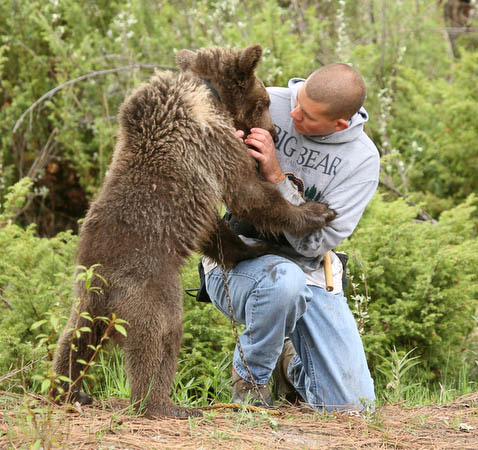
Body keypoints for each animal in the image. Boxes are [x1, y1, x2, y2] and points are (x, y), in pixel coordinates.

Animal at [52, 44, 336, 416]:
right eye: (264, 101)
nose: (273, 132)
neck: (207, 94)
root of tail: (105, 286)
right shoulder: (213, 144)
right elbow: (249, 194)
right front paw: (316, 212)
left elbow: (217, 231)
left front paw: (251, 247)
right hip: (150, 287)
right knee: (162, 335)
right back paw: (161, 403)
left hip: (86, 297)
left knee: (74, 338)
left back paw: (69, 390)